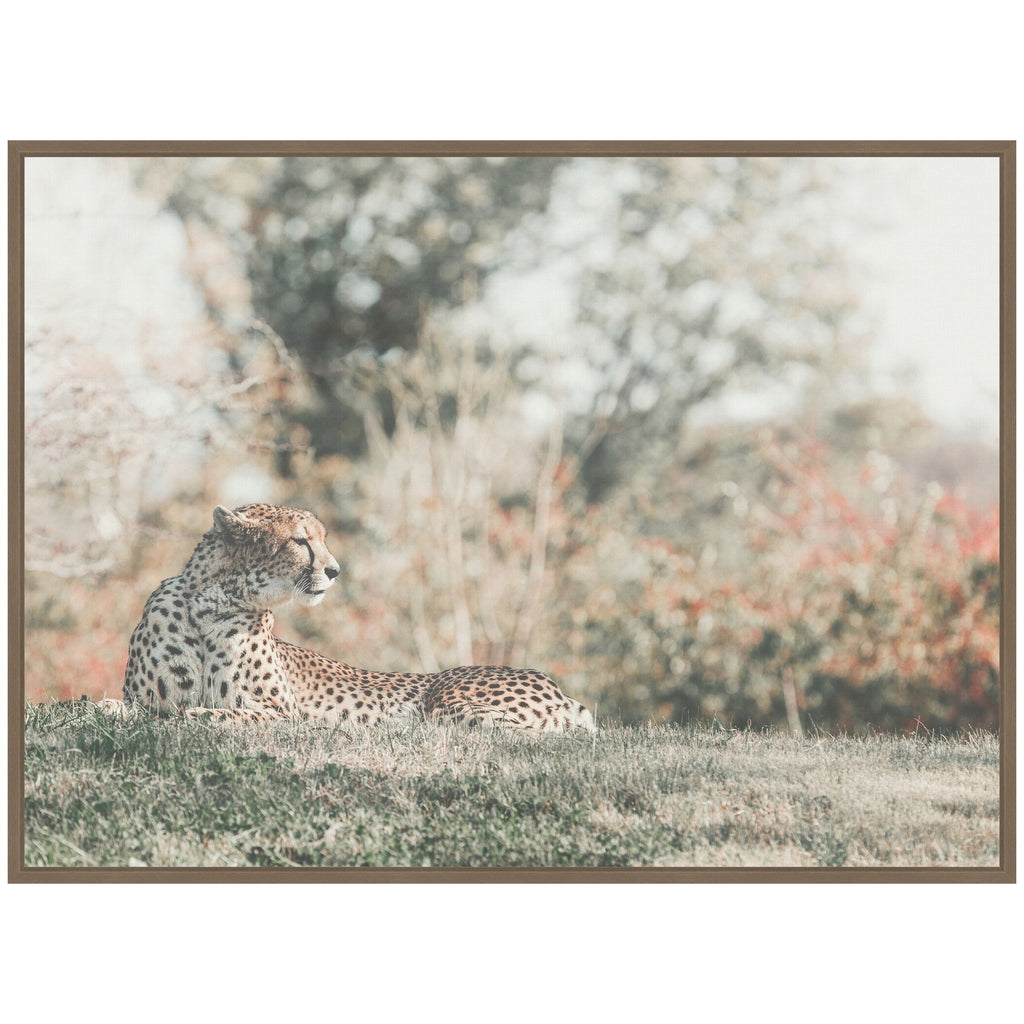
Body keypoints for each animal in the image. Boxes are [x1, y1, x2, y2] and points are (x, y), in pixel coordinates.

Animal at [122, 503, 596, 732]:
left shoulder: (281, 714)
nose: (335, 571)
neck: (211, 603)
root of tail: (557, 687)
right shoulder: (141, 698)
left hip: (448, 702)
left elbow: (200, 715)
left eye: (322, 539)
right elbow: (140, 709)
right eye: (300, 541)